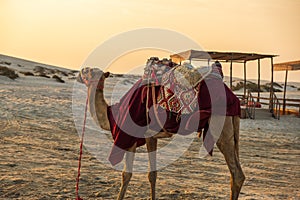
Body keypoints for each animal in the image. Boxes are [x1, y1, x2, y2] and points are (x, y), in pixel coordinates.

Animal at [76, 67, 245, 200]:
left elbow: (126, 174)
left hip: (221, 126)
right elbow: (152, 174)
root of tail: (235, 100)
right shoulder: (149, 136)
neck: (112, 113)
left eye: (90, 71)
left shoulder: (130, 136)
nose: (81, 70)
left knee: (236, 174)